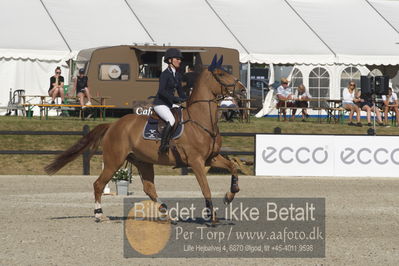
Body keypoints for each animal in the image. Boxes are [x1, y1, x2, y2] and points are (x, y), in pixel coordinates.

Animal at [44, 55, 244, 222]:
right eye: (221, 74)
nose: (242, 89)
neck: (201, 120)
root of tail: (113, 125)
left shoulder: (211, 158)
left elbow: (233, 167)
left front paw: (230, 195)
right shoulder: (196, 161)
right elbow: (205, 188)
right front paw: (212, 216)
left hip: (143, 161)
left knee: (149, 188)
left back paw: (168, 214)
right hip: (114, 161)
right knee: (99, 184)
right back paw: (99, 215)